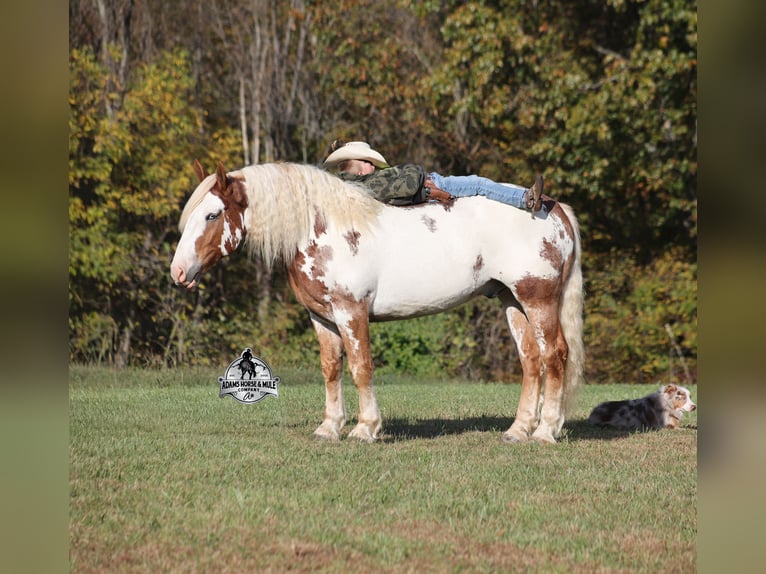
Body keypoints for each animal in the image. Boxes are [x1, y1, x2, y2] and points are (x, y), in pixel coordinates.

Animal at [170, 160, 585, 444]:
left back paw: (546, 431)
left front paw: (365, 429)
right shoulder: (322, 318)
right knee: (531, 360)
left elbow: (360, 367)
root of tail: (553, 208)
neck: (321, 228)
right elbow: (331, 369)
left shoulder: (351, 312)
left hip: (537, 297)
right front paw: (329, 428)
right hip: (511, 300)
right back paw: (518, 430)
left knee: (555, 356)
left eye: (212, 214)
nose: (178, 271)